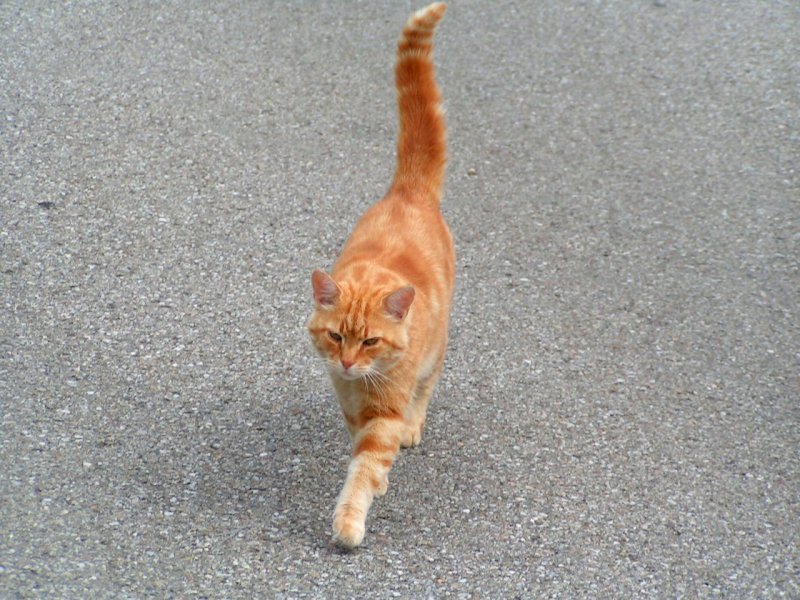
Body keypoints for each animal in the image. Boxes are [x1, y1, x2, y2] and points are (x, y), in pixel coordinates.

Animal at [308, 2, 456, 548]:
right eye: (336, 337)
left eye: (370, 341)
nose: (349, 362)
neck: (362, 387)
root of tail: (407, 189)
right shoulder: (349, 403)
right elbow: (359, 448)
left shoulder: (384, 412)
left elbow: (365, 467)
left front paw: (350, 520)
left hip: (436, 353)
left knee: (426, 388)